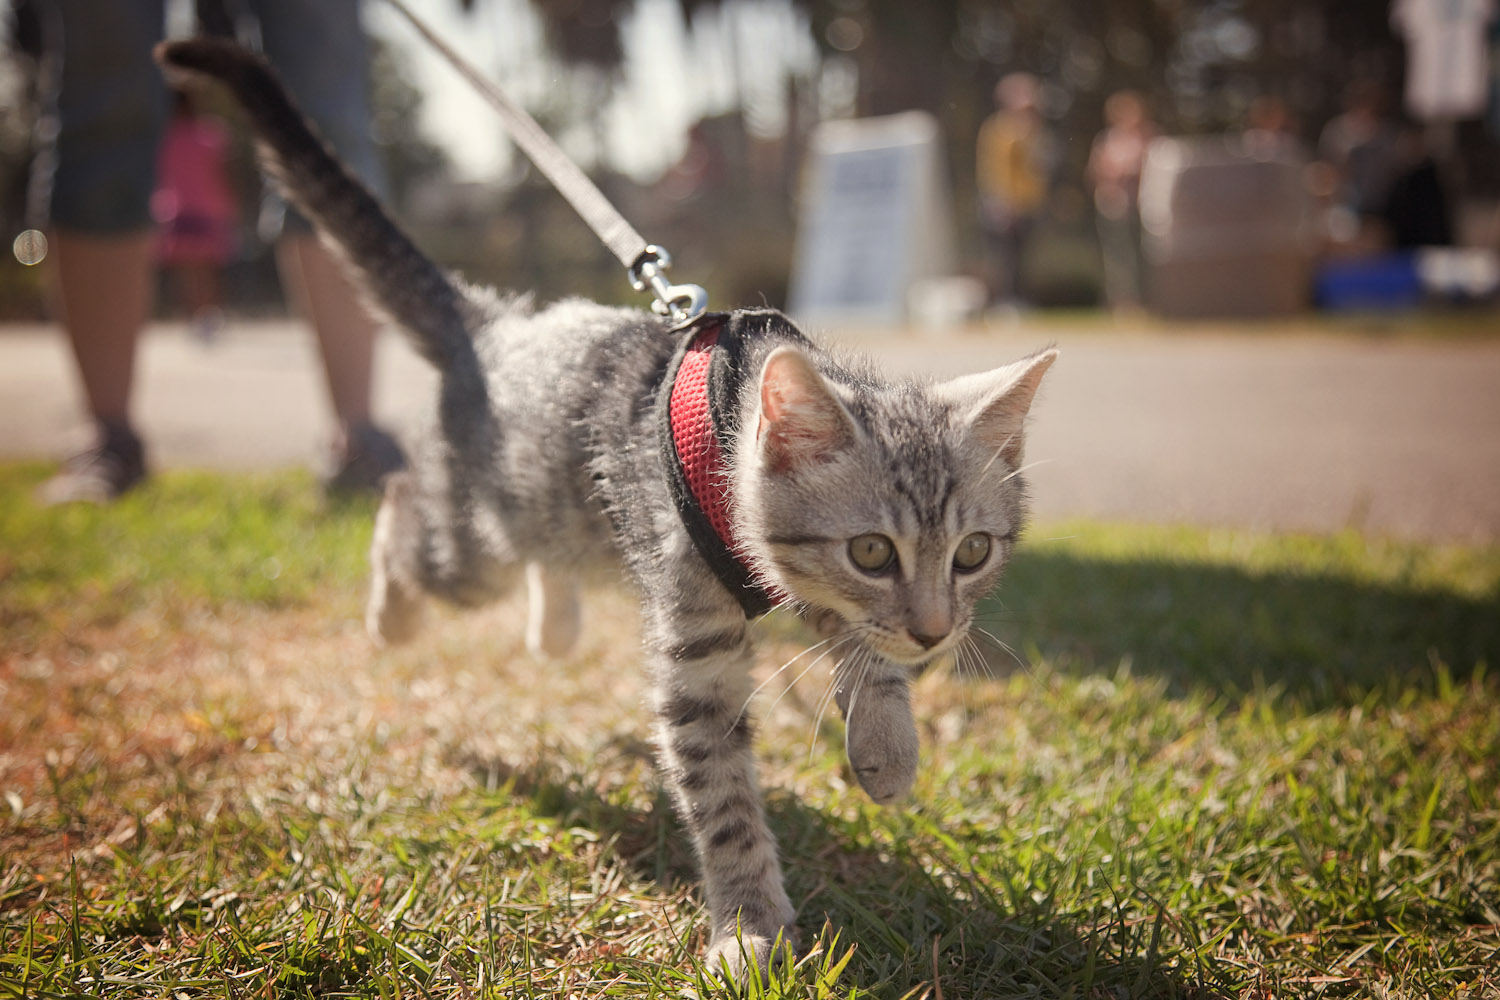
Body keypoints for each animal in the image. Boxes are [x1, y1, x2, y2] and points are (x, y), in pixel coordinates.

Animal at [158, 37, 1056, 971]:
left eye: (973, 553)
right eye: (873, 551)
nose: (936, 634)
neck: (729, 439)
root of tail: (494, 328)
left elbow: (859, 642)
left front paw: (885, 742)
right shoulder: (697, 653)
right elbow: (724, 795)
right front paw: (750, 926)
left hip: (553, 516)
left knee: (547, 553)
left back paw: (552, 627)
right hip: (473, 544)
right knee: (407, 507)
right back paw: (393, 615)